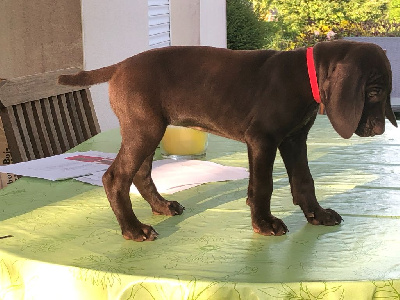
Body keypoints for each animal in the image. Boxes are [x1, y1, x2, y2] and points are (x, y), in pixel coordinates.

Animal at [58, 39, 396, 241]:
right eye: (374, 92)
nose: (380, 130)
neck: (305, 77)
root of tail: (121, 65)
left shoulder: (294, 140)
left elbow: (304, 181)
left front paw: (316, 213)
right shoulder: (262, 139)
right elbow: (263, 186)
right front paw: (264, 223)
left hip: (150, 129)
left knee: (140, 173)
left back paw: (162, 206)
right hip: (145, 129)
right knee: (116, 177)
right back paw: (132, 228)